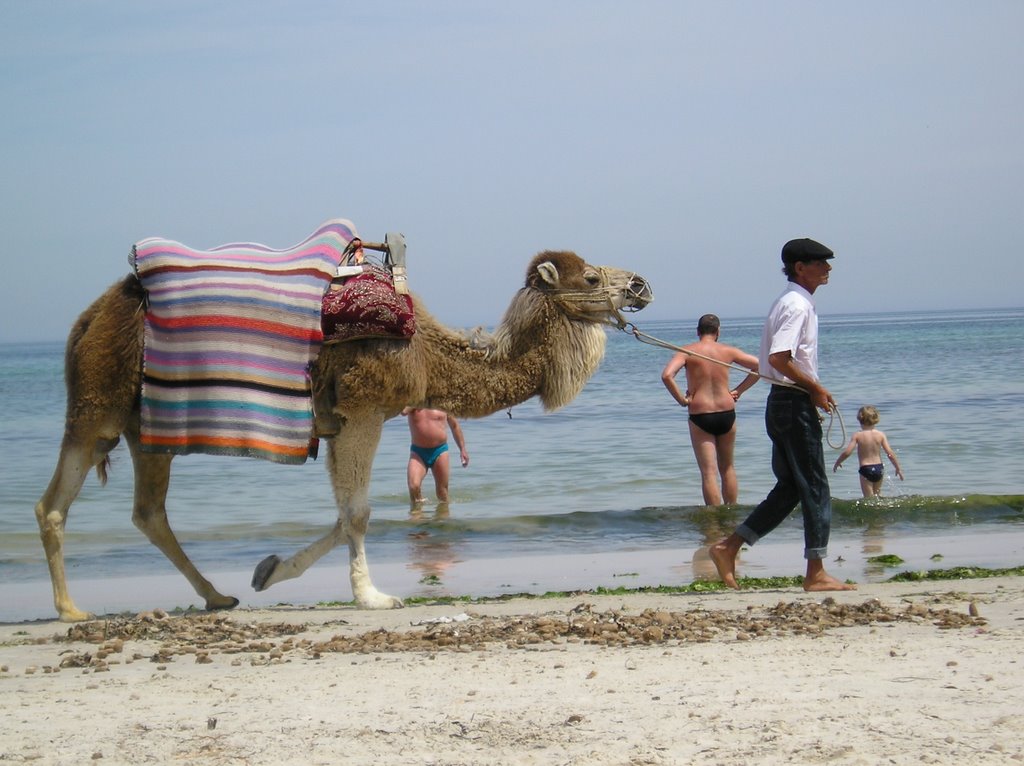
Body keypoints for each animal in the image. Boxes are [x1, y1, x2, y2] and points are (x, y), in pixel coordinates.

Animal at [37, 248, 655, 618]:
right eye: (591, 276)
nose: (641, 283)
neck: (426, 350)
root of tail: (86, 320)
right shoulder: (364, 409)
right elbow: (357, 513)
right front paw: (372, 596)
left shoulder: (341, 423)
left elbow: (342, 515)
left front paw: (269, 571)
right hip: (98, 404)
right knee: (57, 503)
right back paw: (71, 609)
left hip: (141, 426)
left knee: (146, 512)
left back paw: (218, 595)